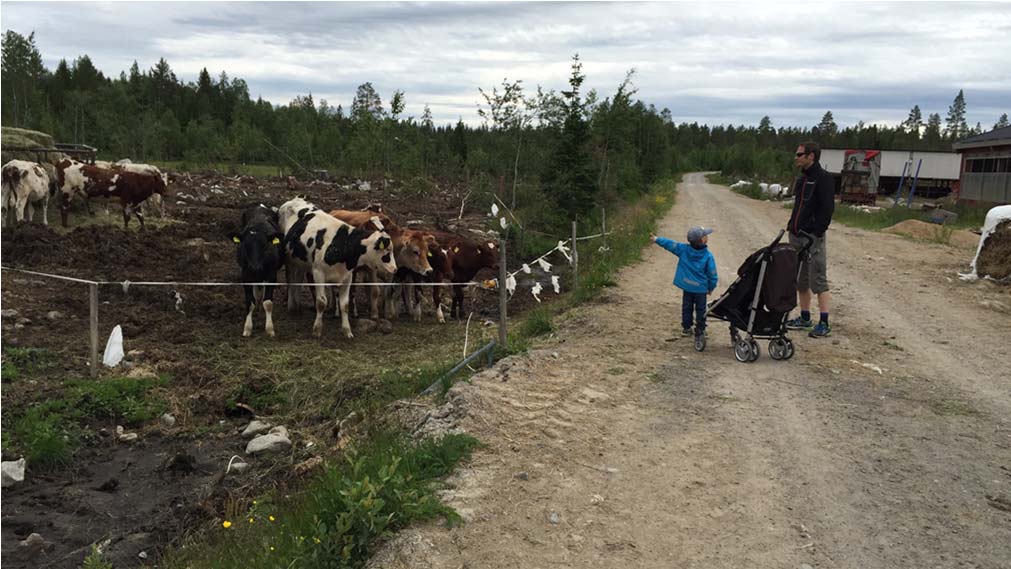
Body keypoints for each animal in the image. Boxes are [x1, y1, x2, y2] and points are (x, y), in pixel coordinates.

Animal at [229, 206, 285, 335]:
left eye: (264, 246)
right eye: (245, 245)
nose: (255, 268)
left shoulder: (271, 276)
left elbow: (268, 302)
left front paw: (270, 329)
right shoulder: (245, 275)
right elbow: (250, 302)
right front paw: (247, 328)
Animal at [281, 198, 402, 335]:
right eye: (387, 251)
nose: (395, 269)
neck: (341, 245)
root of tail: (296, 199)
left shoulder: (348, 276)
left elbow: (345, 303)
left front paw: (347, 330)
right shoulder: (318, 274)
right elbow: (321, 302)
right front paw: (317, 329)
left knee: (298, 277)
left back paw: (296, 306)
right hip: (289, 260)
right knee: (290, 278)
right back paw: (291, 305)